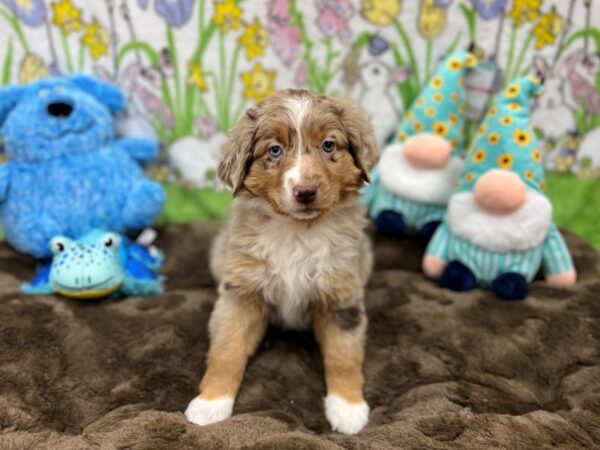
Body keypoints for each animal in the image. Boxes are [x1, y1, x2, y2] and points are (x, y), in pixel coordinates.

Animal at [185, 89, 378, 436]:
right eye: (274, 150)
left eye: (328, 145)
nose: (305, 192)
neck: (297, 231)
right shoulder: (241, 293)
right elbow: (227, 349)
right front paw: (210, 403)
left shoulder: (342, 296)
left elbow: (343, 355)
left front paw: (348, 408)